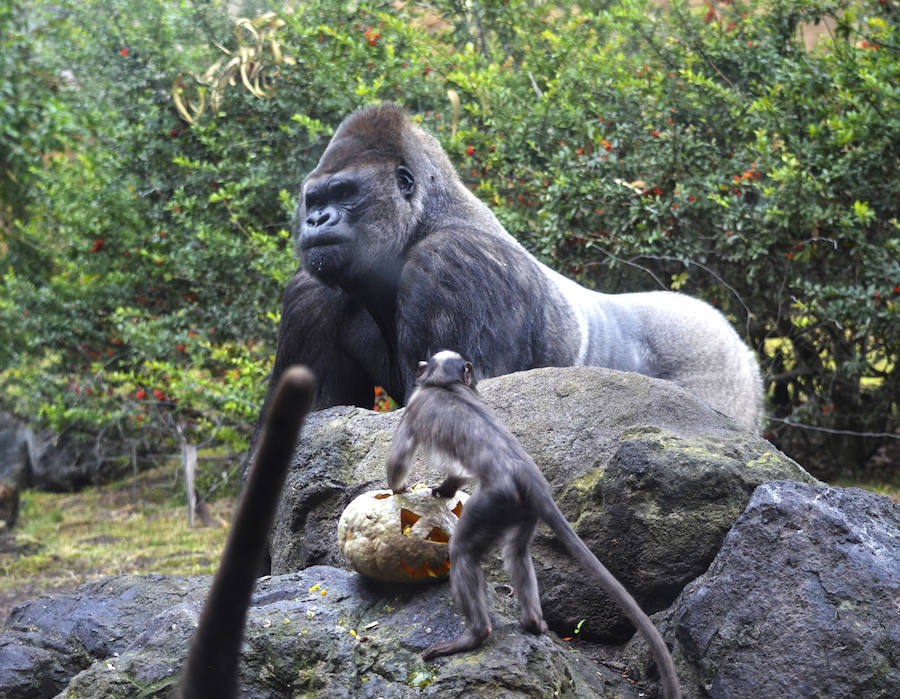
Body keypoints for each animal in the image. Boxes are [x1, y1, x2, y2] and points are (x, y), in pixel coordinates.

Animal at [244, 102, 760, 476]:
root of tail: (739, 342)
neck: (423, 221)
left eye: (346, 193)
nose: (316, 220)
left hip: (715, 363)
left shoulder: (453, 263)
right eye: (315, 199)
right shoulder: (312, 291)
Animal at [386, 352, 684, 699]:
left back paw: (475, 635)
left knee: (462, 551)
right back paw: (531, 621)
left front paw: (398, 487)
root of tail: (527, 476)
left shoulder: (415, 404)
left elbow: (400, 456)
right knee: (516, 553)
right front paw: (446, 488)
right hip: (522, 510)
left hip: (493, 502)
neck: (444, 384)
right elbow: (461, 472)